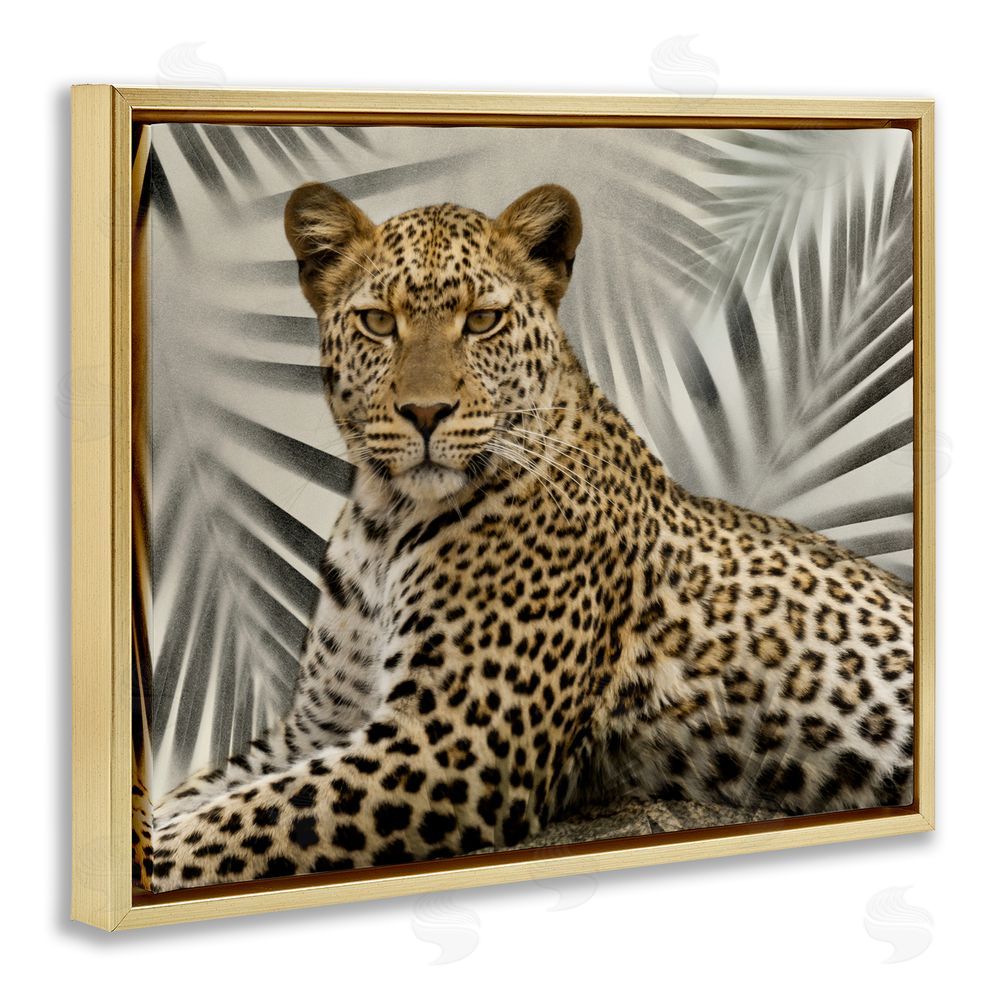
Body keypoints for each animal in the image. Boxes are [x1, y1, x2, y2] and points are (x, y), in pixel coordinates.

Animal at [136, 182, 914, 893]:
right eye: (379, 322)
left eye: (482, 320)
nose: (425, 412)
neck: (385, 519)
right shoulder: (319, 725)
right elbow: (200, 797)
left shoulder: (453, 743)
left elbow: (228, 826)